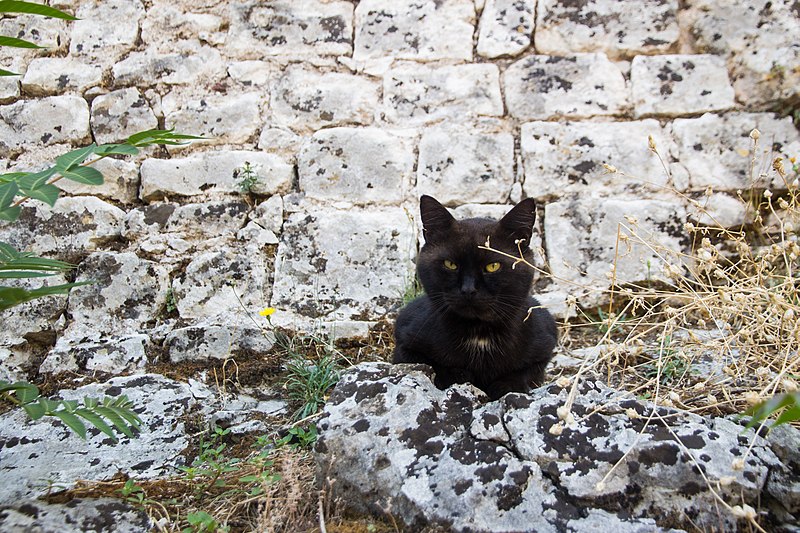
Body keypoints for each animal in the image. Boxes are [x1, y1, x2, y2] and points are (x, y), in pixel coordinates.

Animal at [392, 195, 556, 400]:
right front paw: (459, 375)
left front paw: (506, 385)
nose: (468, 290)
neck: (479, 334)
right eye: (450, 264)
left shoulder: (545, 345)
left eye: (493, 266)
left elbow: (527, 372)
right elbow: (434, 365)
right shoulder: (405, 345)